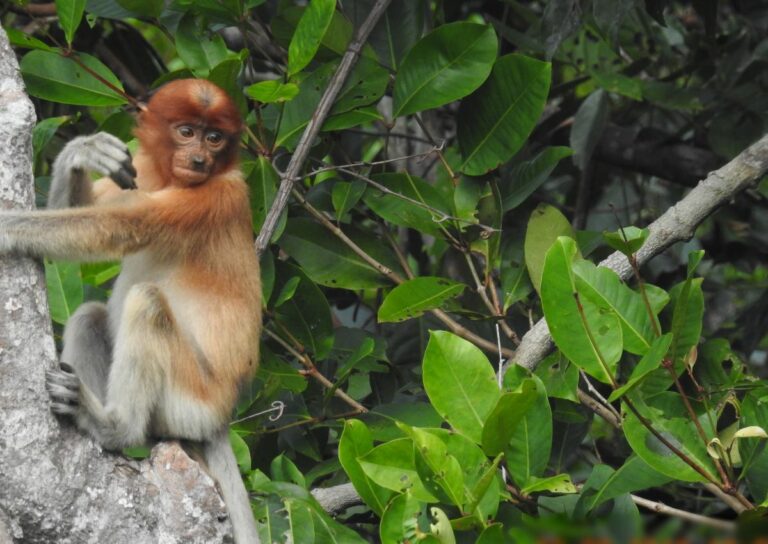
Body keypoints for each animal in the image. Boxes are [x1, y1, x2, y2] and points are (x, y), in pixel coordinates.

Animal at [0, 79, 262, 544]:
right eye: (187, 131)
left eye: (215, 138)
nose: (199, 160)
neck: (172, 175)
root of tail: (221, 416)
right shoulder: (140, 166)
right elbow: (88, 212)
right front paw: (84, 152)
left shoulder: (212, 197)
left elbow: (113, 227)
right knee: (89, 315)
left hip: (189, 400)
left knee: (147, 301)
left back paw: (112, 425)